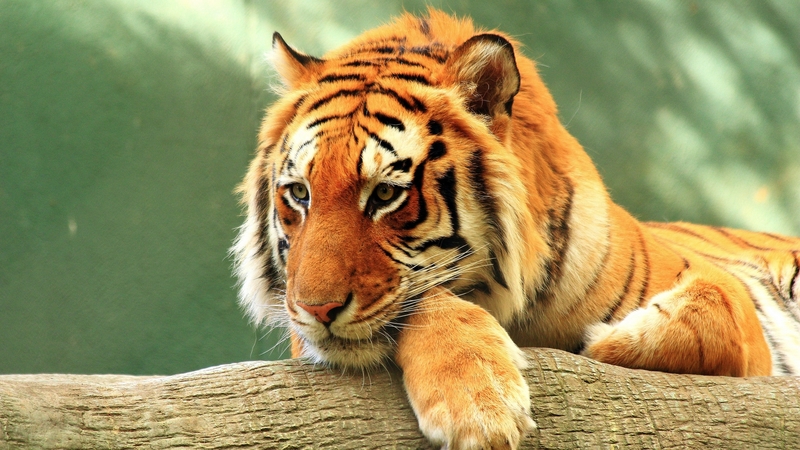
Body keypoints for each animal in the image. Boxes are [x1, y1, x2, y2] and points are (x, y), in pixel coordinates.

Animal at [231, 8, 800, 450]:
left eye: (387, 195)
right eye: (300, 194)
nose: (315, 310)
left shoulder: (726, 299)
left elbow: (712, 310)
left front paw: (601, 342)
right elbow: (429, 300)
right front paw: (478, 404)